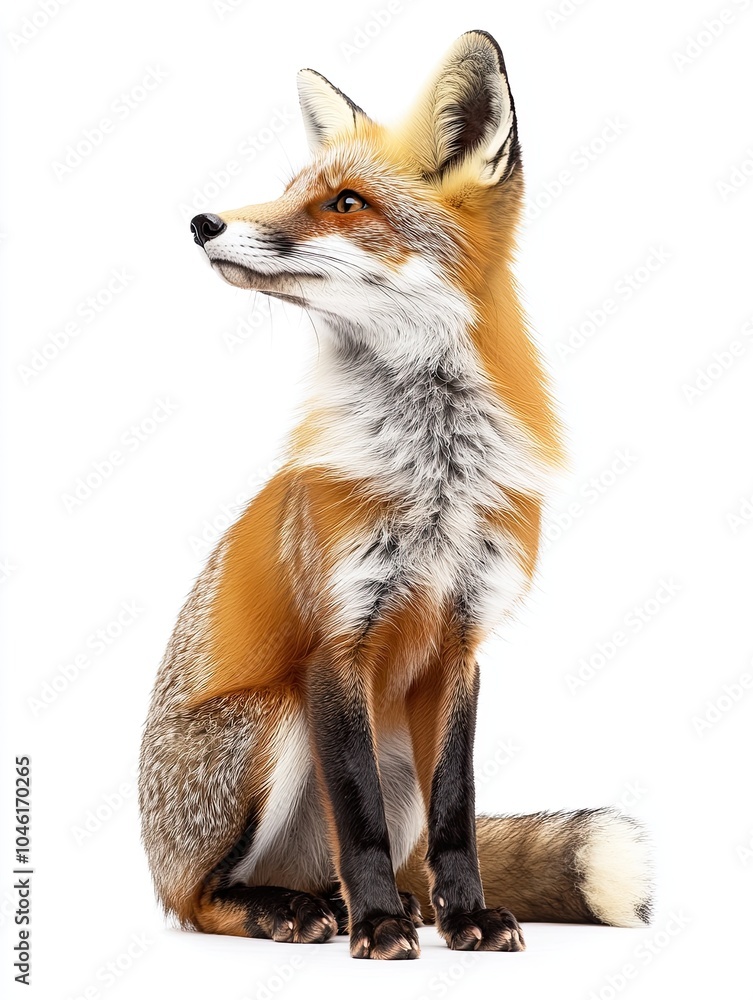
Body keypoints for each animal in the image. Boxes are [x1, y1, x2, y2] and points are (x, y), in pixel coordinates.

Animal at [139, 30, 652, 960]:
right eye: (291, 190)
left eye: (344, 203)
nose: (203, 223)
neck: (435, 477)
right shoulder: (334, 645)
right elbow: (359, 819)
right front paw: (377, 926)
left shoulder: (461, 646)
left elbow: (458, 814)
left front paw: (465, 915)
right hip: (271, 723)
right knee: (201, 900)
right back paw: (297, 910)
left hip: (392, 752)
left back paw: (391, 904)